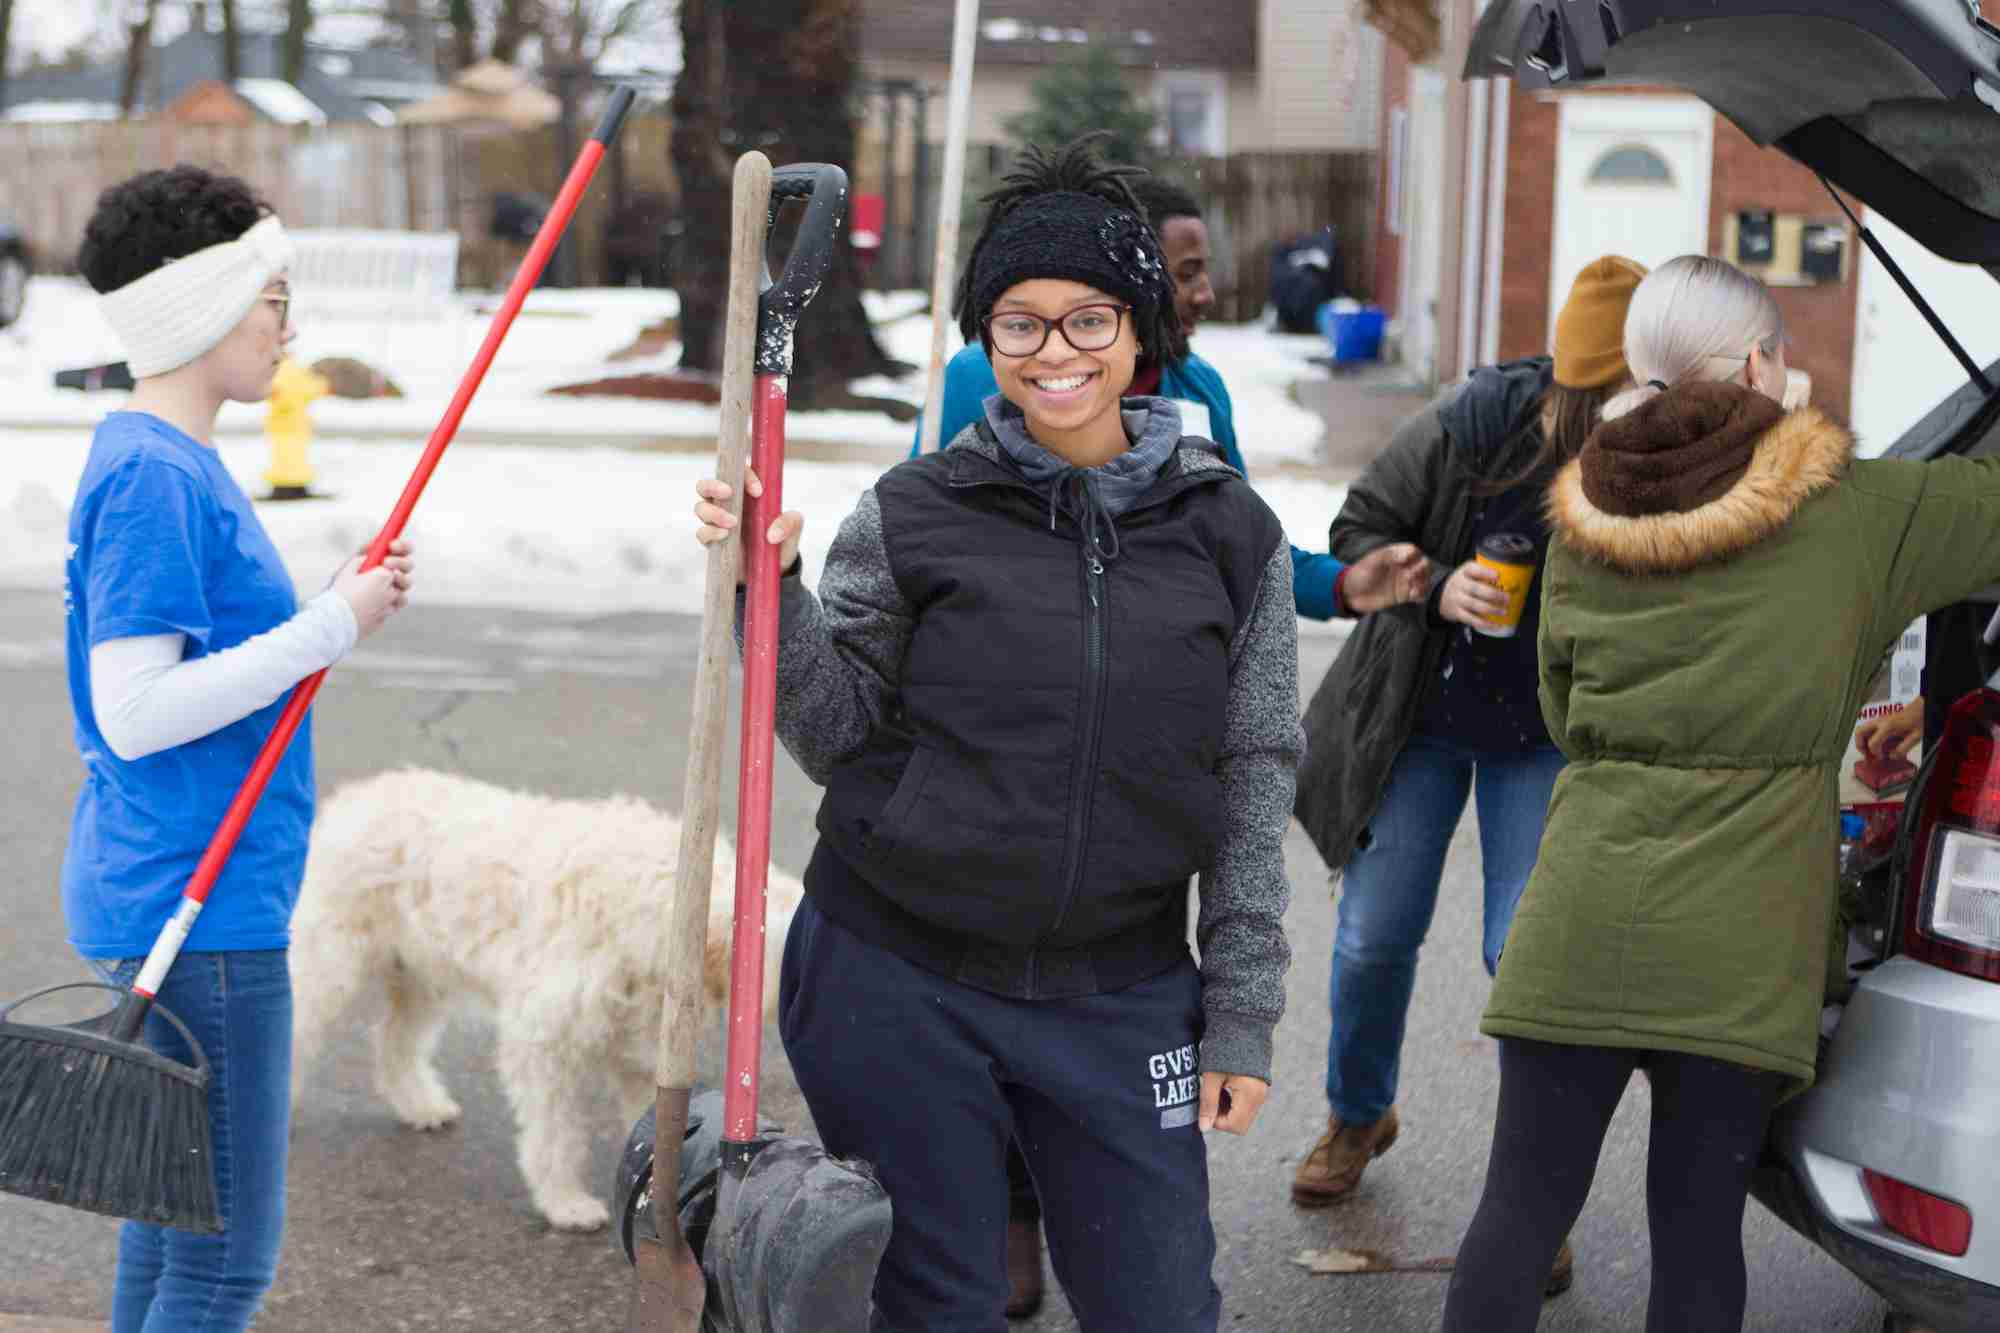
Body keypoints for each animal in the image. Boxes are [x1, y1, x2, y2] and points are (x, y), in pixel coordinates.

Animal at [292, 764, 804, 1232]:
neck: (664, 908)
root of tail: (354, 800)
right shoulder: (544, 1042)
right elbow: (556, 1133)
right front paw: (565, 1202)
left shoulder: (642, 1050)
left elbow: (653, 1127)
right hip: (327, 965)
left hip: (422, 977)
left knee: (395, 1040)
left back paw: (421, 1105)